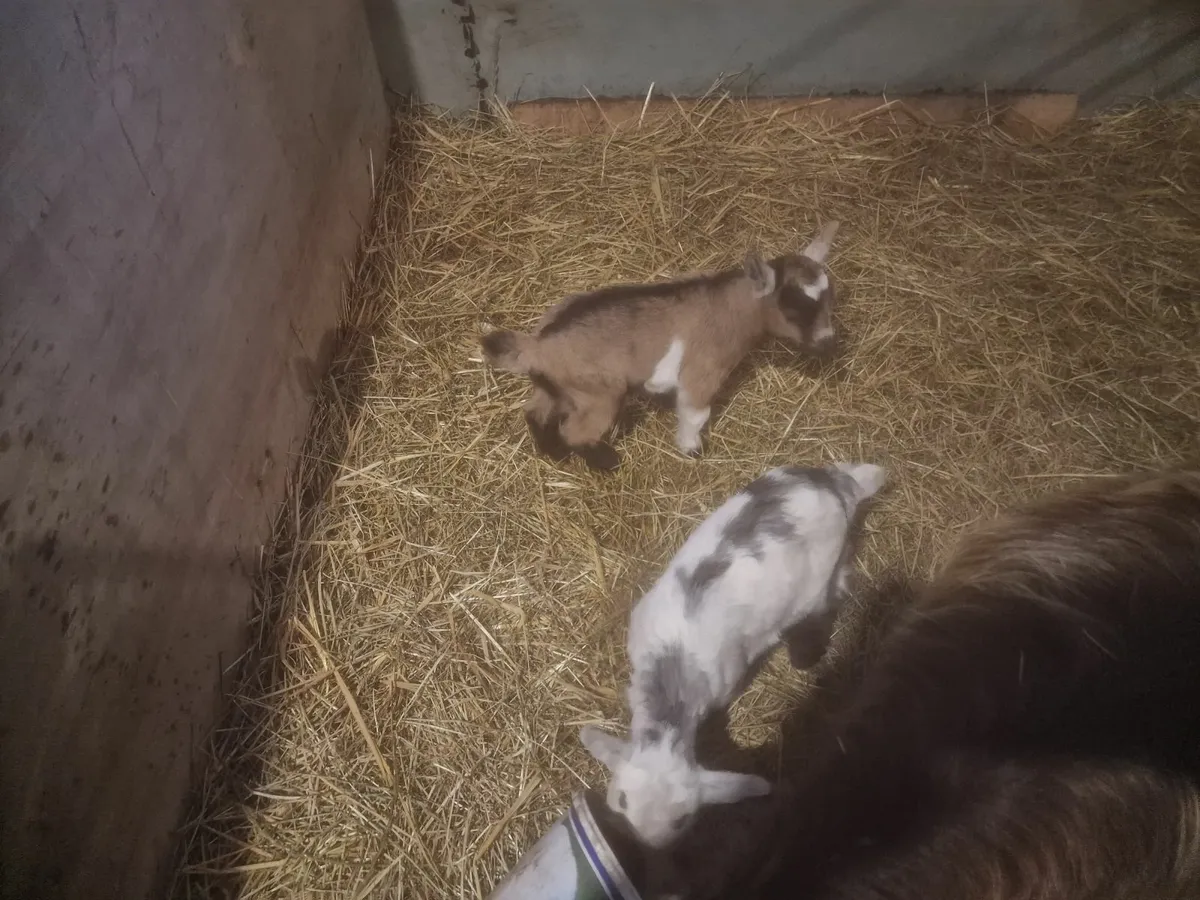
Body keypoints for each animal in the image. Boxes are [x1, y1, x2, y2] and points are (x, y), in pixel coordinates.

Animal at [480, 222, 841, 470]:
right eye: (795, 309)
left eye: (828, 300)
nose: (828, 343)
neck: (731, 309)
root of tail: (538, 345)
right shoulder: (702, 371)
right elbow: (696, 412)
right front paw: (690, 449)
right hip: (599, 393)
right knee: (575, 431)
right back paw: (608, 463)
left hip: (554, 386)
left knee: (535, 412)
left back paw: (553, 453)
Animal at [580, 461, 887, 850]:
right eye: (621, 800)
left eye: (682, 821)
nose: (643, 846)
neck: (672, 671)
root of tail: (837, 486)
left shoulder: (726, 683)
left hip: (824, 571)